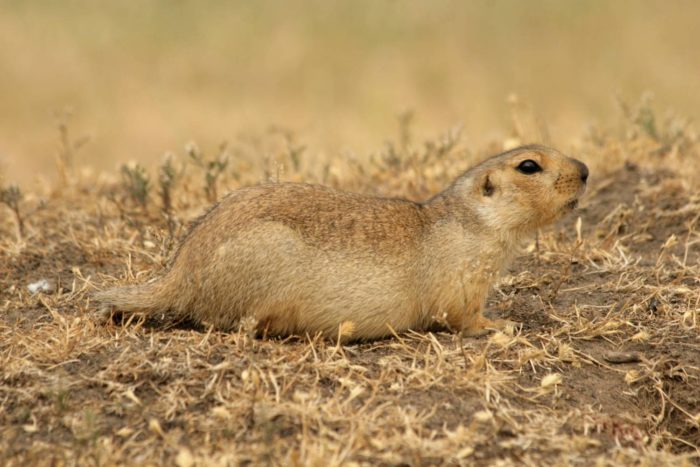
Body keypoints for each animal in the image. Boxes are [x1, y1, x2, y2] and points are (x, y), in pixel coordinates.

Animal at [94, 144, 584, 342]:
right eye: (528, 166)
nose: (585, 170)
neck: (471, 221)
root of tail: (179, 275)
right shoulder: (460, 277)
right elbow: (460, 315)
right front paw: (500, 325)